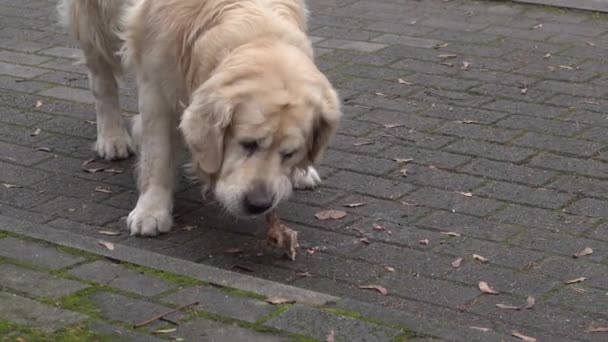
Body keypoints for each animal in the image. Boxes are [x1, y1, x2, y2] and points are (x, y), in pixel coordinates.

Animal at [57, 0, 342, 235]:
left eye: (290, 153)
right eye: (247, 144)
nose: (258, 204)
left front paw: (302, 171)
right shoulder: (156, 89)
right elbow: (157, 155)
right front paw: (151, 211)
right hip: (93, 23)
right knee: (101, 80)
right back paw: (112, 138)